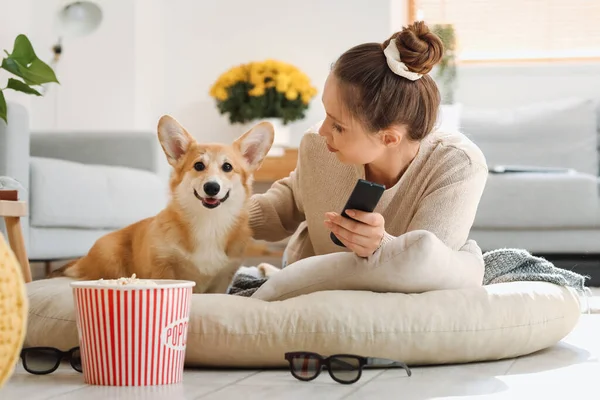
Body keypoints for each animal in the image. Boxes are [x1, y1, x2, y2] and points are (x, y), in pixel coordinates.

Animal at [54, 114, 274, 292]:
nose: (212, 187)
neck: (209, 222)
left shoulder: (223, 278)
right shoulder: (163, 265)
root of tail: (83, 259)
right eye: (198, 166)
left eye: (227, 167)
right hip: (110, 259)